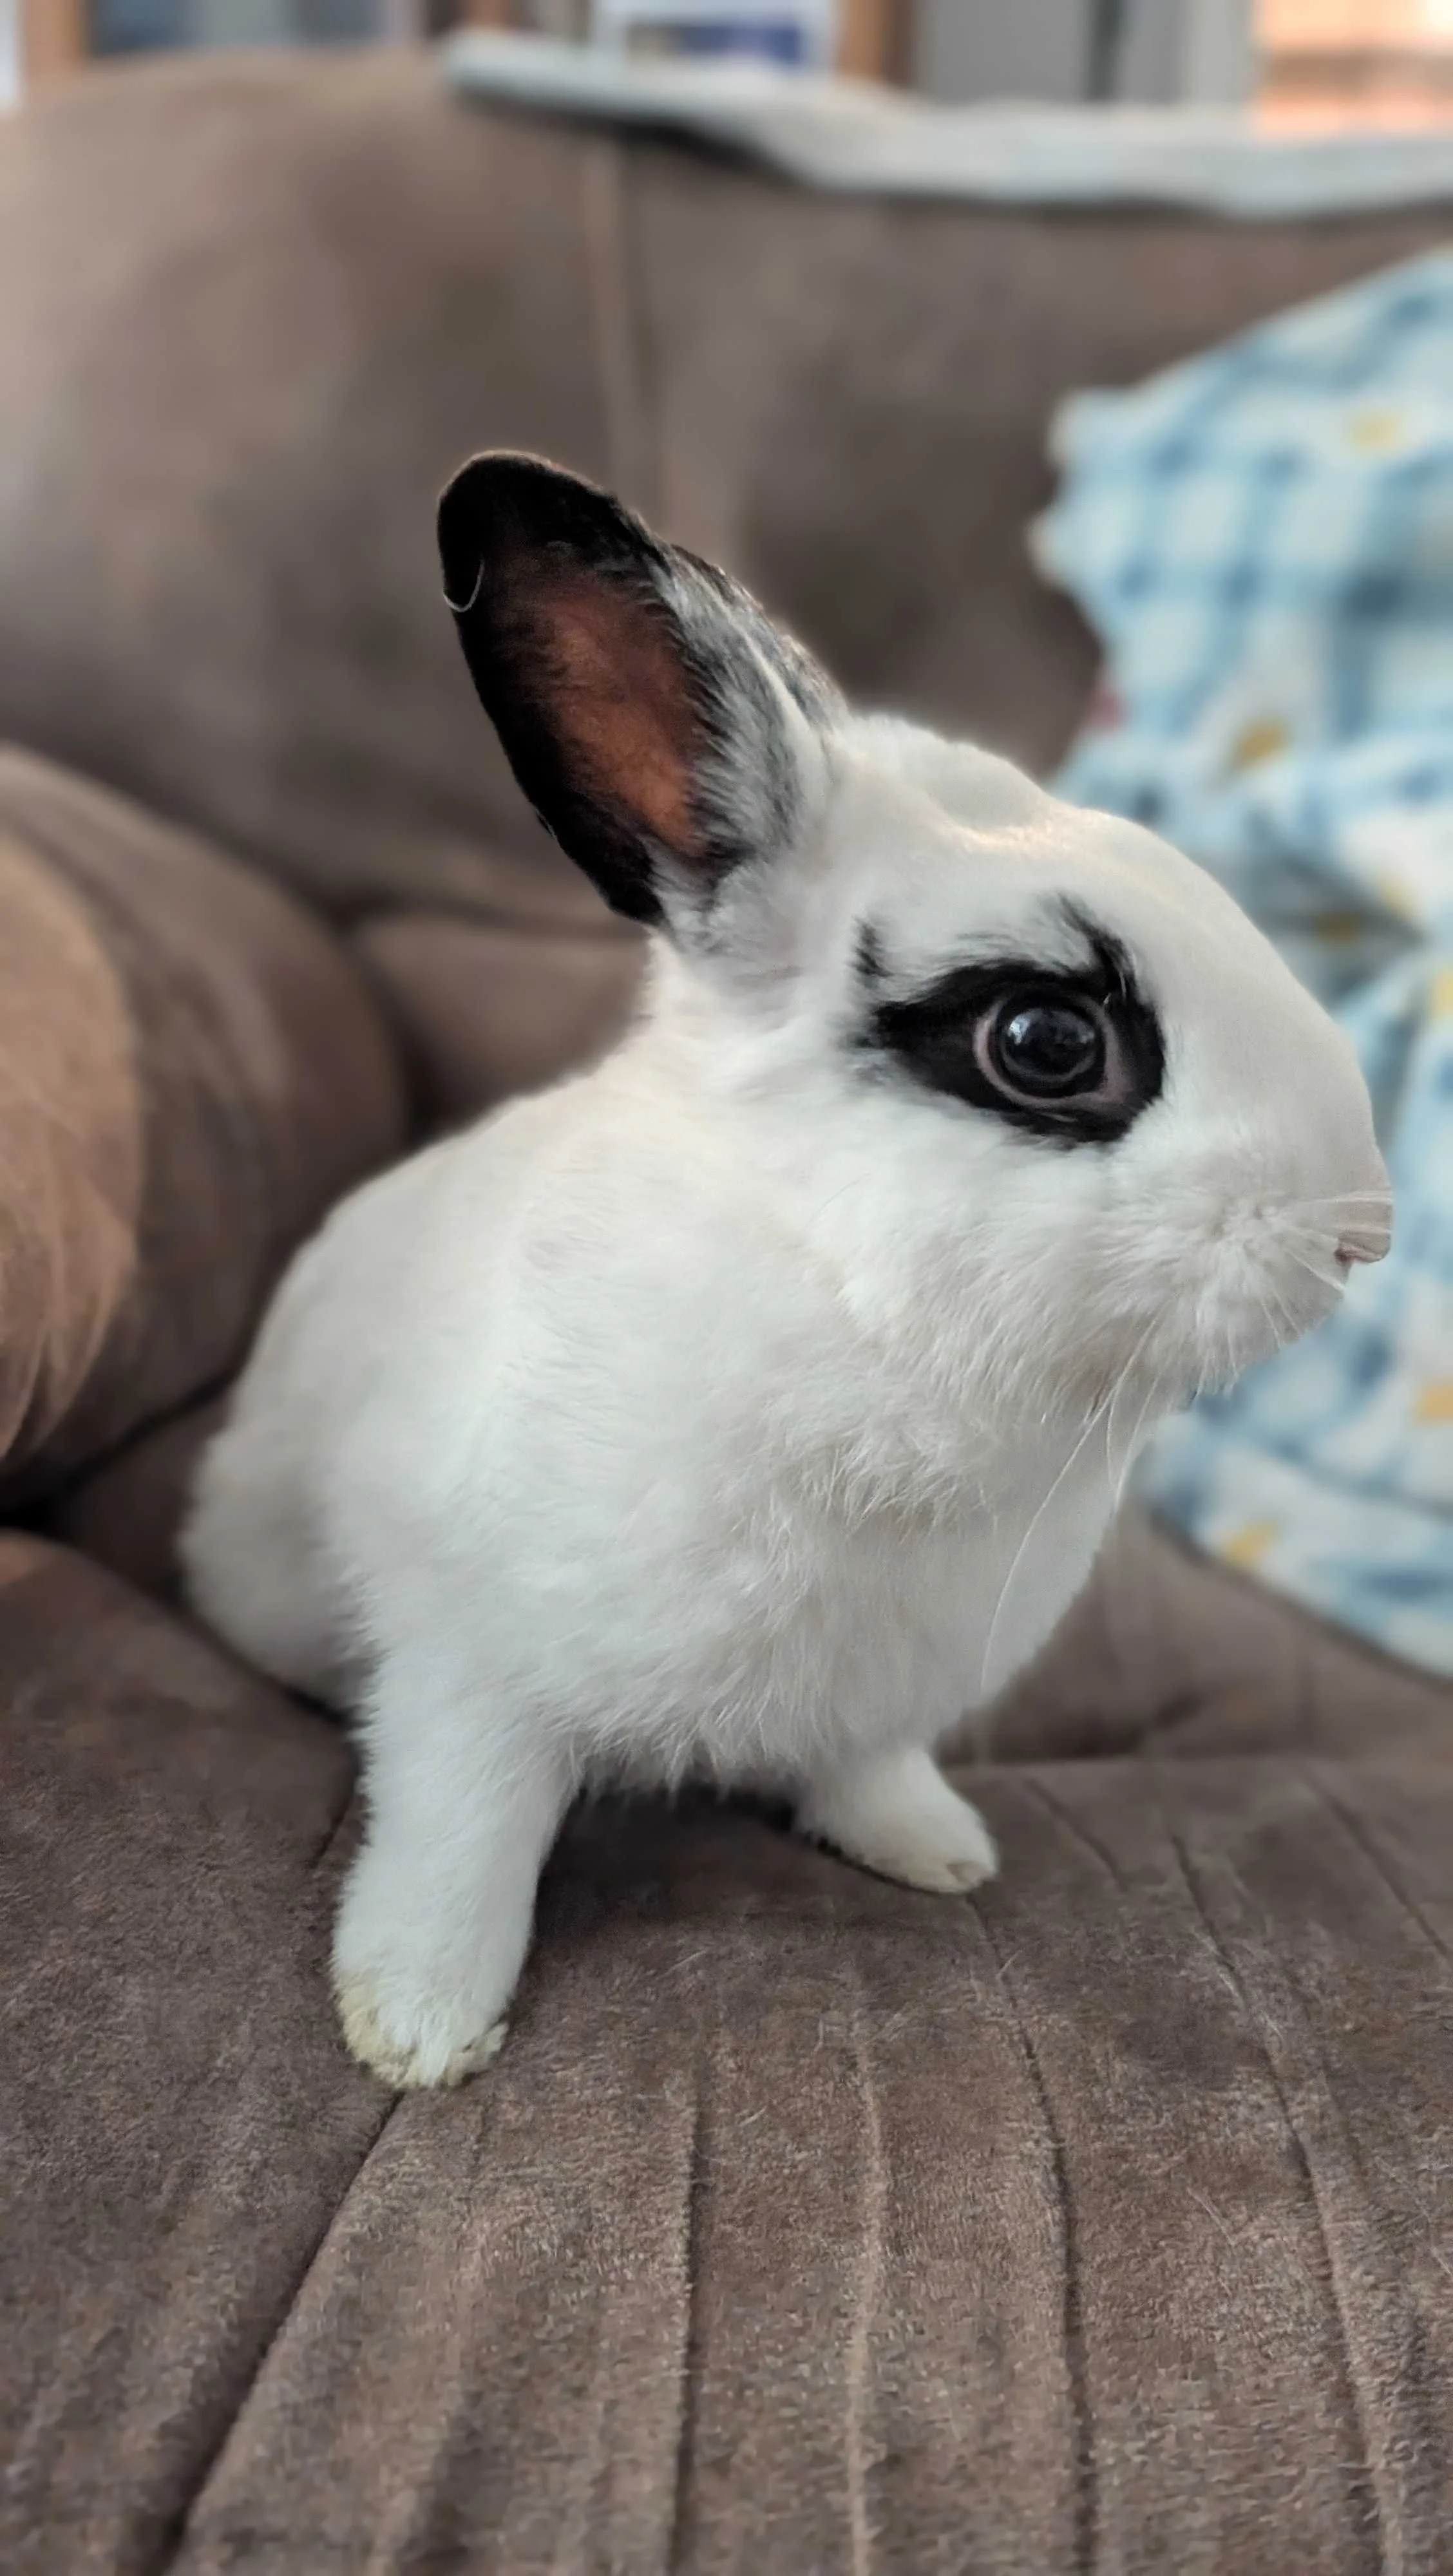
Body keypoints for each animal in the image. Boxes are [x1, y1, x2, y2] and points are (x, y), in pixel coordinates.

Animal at [182, 452, 1392, 2090]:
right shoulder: (466, 1671)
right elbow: (460, 1837)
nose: (1361, 1233)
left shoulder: (878, 1701)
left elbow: (867, 1771)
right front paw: (420, 2025)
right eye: (1047, 1041)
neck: (848, 1304)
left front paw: (938, 1851)